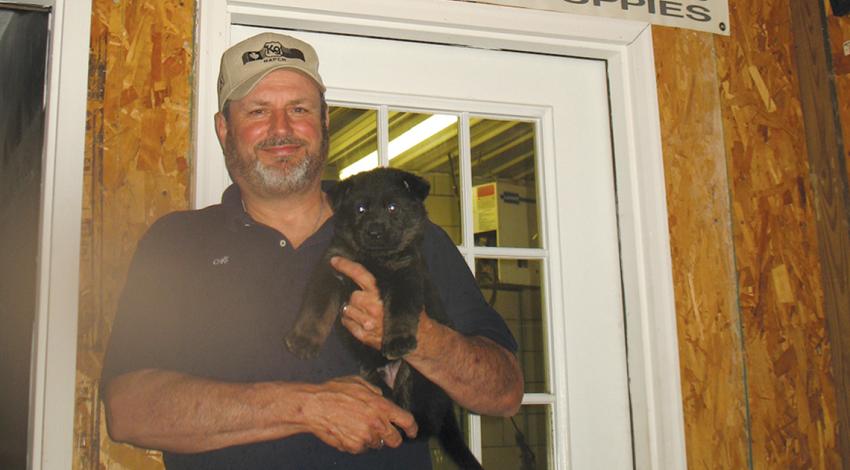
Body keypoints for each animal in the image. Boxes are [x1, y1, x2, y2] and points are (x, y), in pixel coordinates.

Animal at [284, 167, 484, 468]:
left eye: (392, 207)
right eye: (360, 208)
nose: (375, 231)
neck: (373, 259)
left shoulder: (405, 275)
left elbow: (400, 310)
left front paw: (398, 340)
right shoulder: (332, 268)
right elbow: (316, 307)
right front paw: (304, 341)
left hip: (417, 380)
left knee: (420, 425)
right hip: (373, 379)